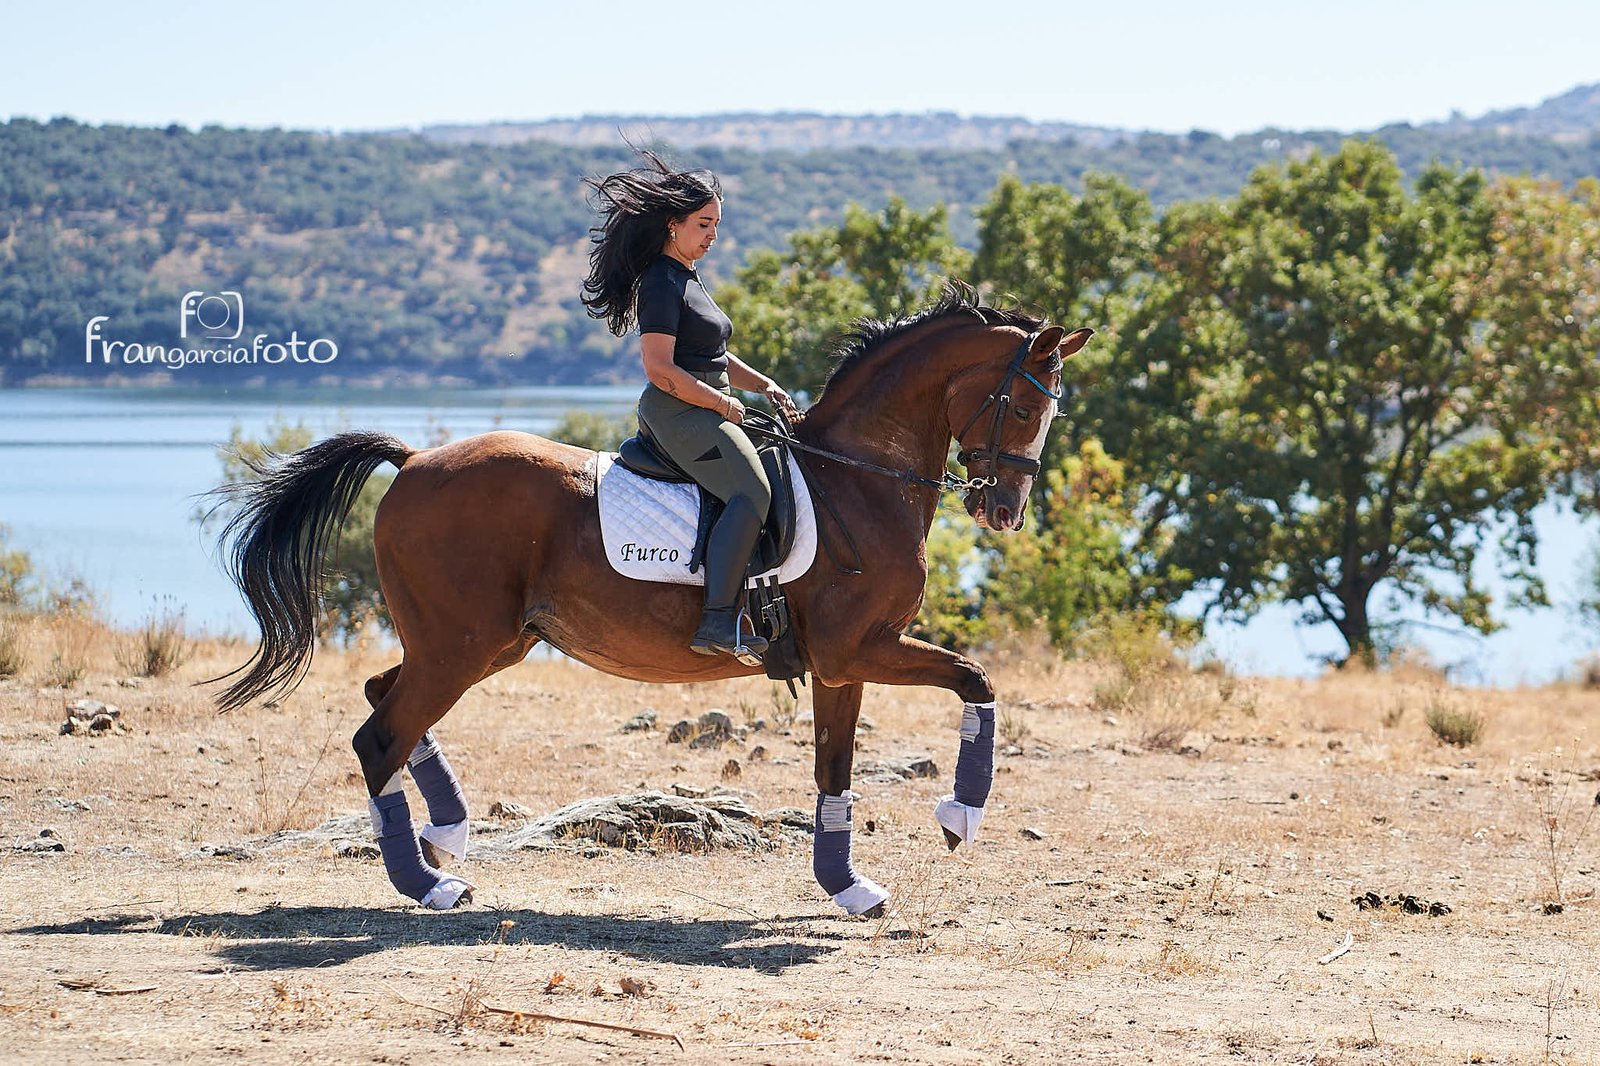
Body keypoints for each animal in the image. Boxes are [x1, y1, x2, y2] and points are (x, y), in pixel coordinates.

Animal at [209, 286, 1093, 915]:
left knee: (381, 699)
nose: (1005, 511)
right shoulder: (859, 648)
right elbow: (977, 679)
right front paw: (959, 817)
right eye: (1022, 405)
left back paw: (448, 834)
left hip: (489, 643)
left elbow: (835, 768)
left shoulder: (841, 666)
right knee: (379, 737)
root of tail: (416, 458)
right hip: (462, 646)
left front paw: (848, 888)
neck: (858, 481)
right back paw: (431, 884)